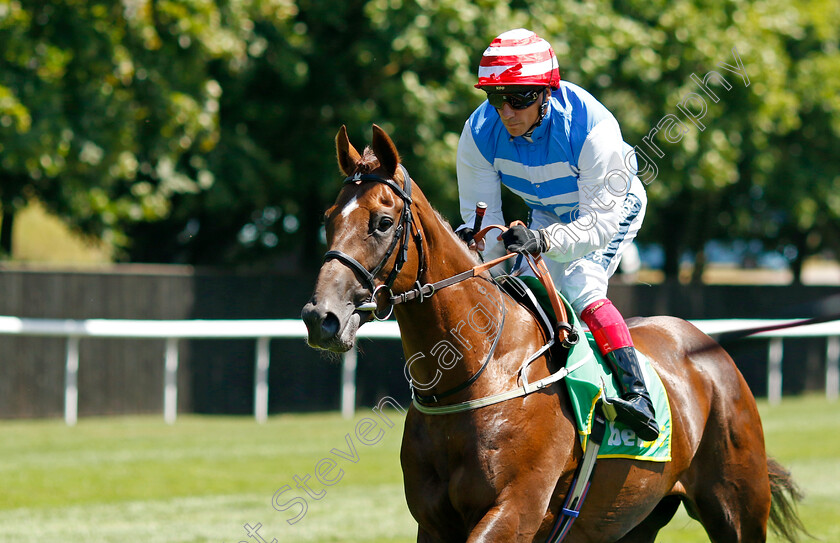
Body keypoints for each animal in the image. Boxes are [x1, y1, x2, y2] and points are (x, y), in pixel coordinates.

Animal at [298, 124, 804, 543]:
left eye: (383, 223)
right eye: (328, 218)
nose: (321, 317)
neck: (478, 374)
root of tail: (709, 348)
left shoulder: (513, 512)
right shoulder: (434, 522)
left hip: (736, 506)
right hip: (634, 519)